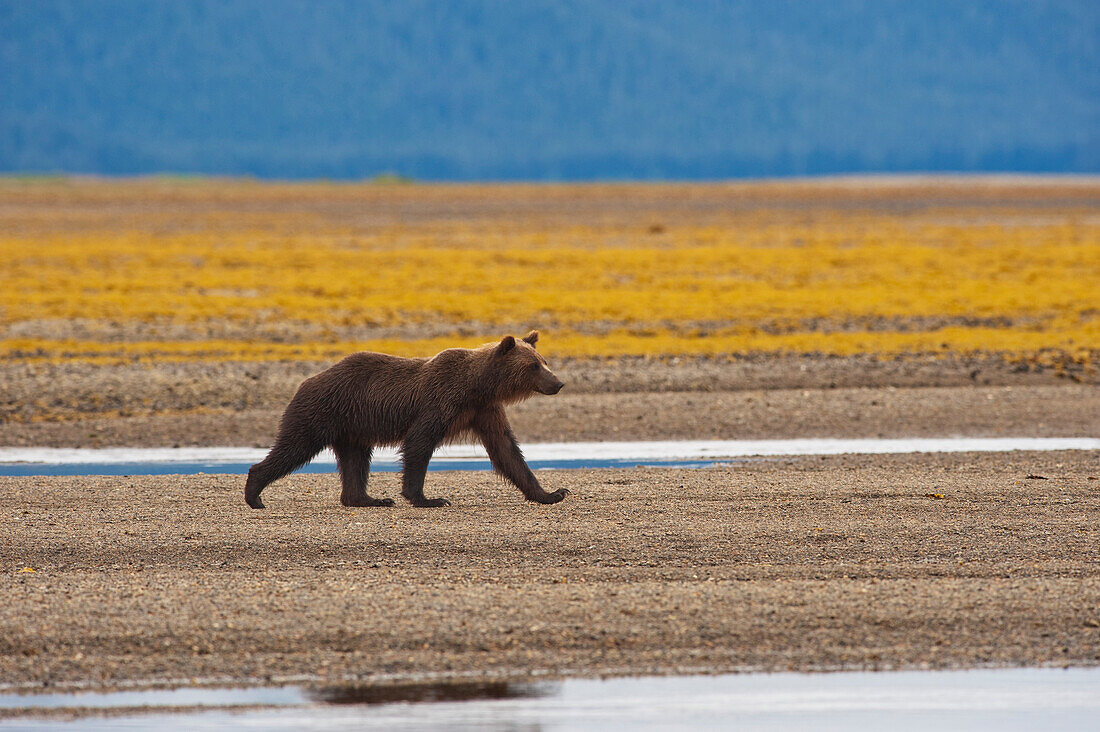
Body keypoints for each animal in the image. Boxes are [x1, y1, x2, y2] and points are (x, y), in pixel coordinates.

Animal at [243, 330, 567, 508]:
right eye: (533, 365)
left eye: (544, 361)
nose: (558, 382)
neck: (478, 385)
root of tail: (307, 381)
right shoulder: (441, 399)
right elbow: (419, 442)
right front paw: (427, 498)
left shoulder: (484, 410)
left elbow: (507, 451)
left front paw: (551, 493)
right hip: (322, 411)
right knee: (295, 446)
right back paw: (254, 493)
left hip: (353, 428)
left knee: (355, 462)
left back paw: (368, 499)